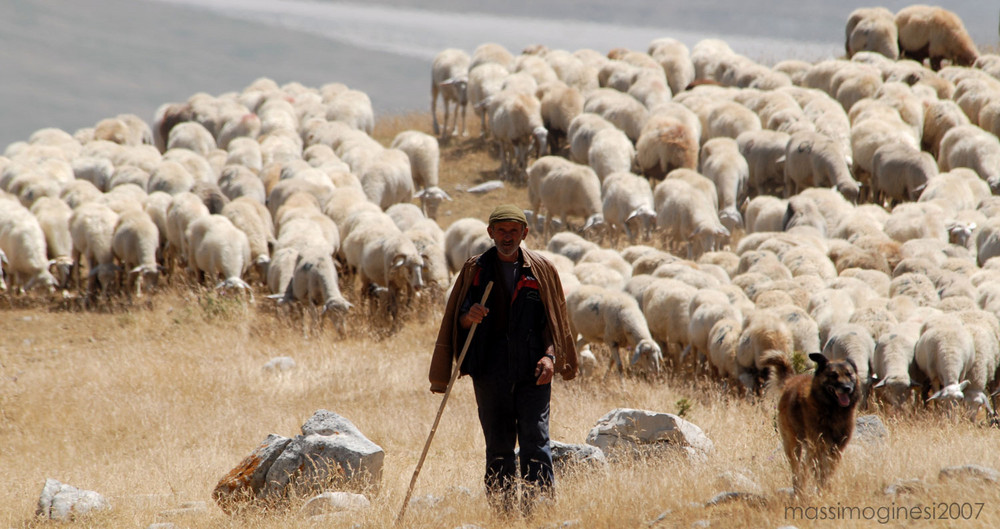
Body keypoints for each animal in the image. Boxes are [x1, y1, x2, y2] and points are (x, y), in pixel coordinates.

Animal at [764, 350, 860, 496]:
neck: (832, 409)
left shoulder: (837, 448)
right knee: (798, 469)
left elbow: (828, 472)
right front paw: (822, 491)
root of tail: (792, 380)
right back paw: (798, 490)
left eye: (849, 374)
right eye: (833, 375)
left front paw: (826, 490)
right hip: (793, 444)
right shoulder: (818, 446)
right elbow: (820, 472)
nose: (847, 388)